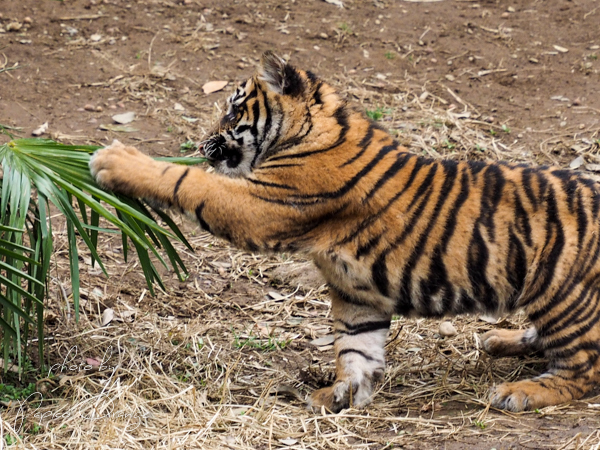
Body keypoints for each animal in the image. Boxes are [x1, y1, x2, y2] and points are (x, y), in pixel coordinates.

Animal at [88, 51, 600, 414]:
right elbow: (355, 346)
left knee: (585, 369)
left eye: (232, 112)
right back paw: (502, 340)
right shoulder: (358, 290)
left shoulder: (261, 203)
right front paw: (342, 393)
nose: (201, 144)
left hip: (563, 295)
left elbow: (189, 182)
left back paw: (519, 392)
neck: (309, 132)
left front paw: (114, 160)